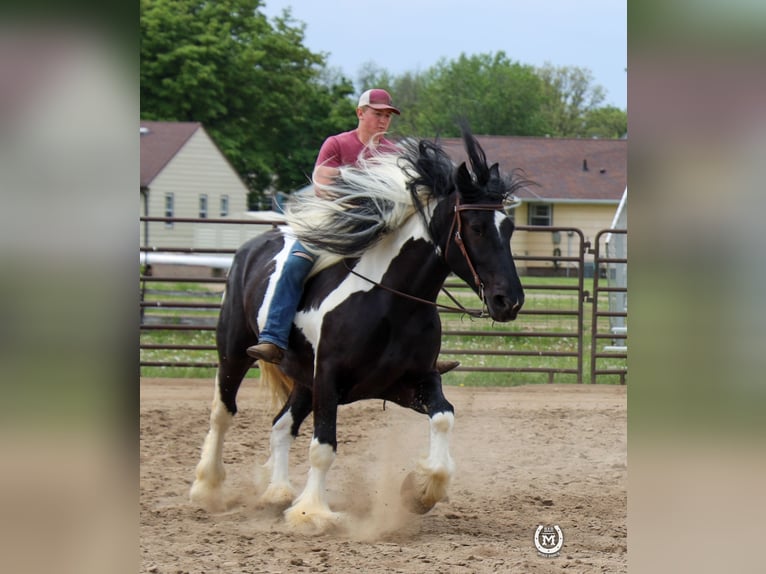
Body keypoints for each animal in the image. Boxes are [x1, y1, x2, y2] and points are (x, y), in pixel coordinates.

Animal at [189, 128, 532, 532]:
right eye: (476, 228)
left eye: (509, 228)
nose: (509, 300)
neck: (391, 303)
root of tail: (252, 248)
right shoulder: (328, 379)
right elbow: (323, 448)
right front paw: (312, 513)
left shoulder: (411, 382)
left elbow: (444, 416)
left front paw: (420, 492)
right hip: (234, 352)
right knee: (223, 413)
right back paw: (207, 489)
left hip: (303, 380)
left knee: (280, 425)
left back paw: (277, 493)